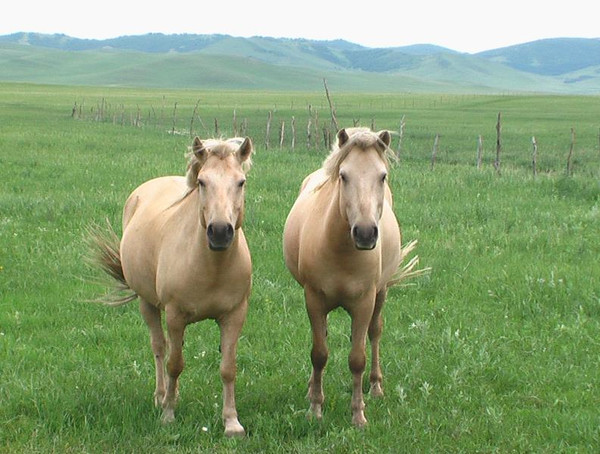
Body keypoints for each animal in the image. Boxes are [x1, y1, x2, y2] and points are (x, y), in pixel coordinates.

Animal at [91, 136, 253, 436]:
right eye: (202, 182)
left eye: (241, 182)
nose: (220, 232)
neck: (212, 267)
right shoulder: (175, 316)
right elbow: (174, 364)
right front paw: (168, 414)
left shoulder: (234, 315)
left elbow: (228, 368)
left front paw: (231, 422)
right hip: (148, 304)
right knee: (159, 348)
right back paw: (161, 395)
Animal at [282, 129, 414, 430]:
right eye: (343, 175)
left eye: (382, 176)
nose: (365, 233)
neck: (341, 251)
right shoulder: (314, 300)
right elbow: (319, 353)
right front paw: (315, 409)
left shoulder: (364, 303)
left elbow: (357, 359)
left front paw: (358, 415)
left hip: (381, 293)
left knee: (374, 333)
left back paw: (375, 387)